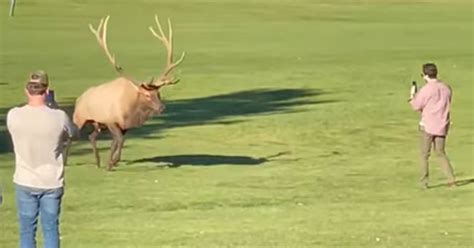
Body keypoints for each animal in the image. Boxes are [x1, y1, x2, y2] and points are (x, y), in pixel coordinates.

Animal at [73, 15, 185, 170]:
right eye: (147, 95)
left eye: (159, 93)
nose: (162, 107)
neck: (130, 111)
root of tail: (79, 98)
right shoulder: (111, 121)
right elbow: (119, 140)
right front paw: (112, 162)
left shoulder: (122, 126)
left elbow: (118, 141)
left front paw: (110, 162)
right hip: (79, 118)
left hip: (98, 124)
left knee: (91, 136)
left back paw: (98, 162)